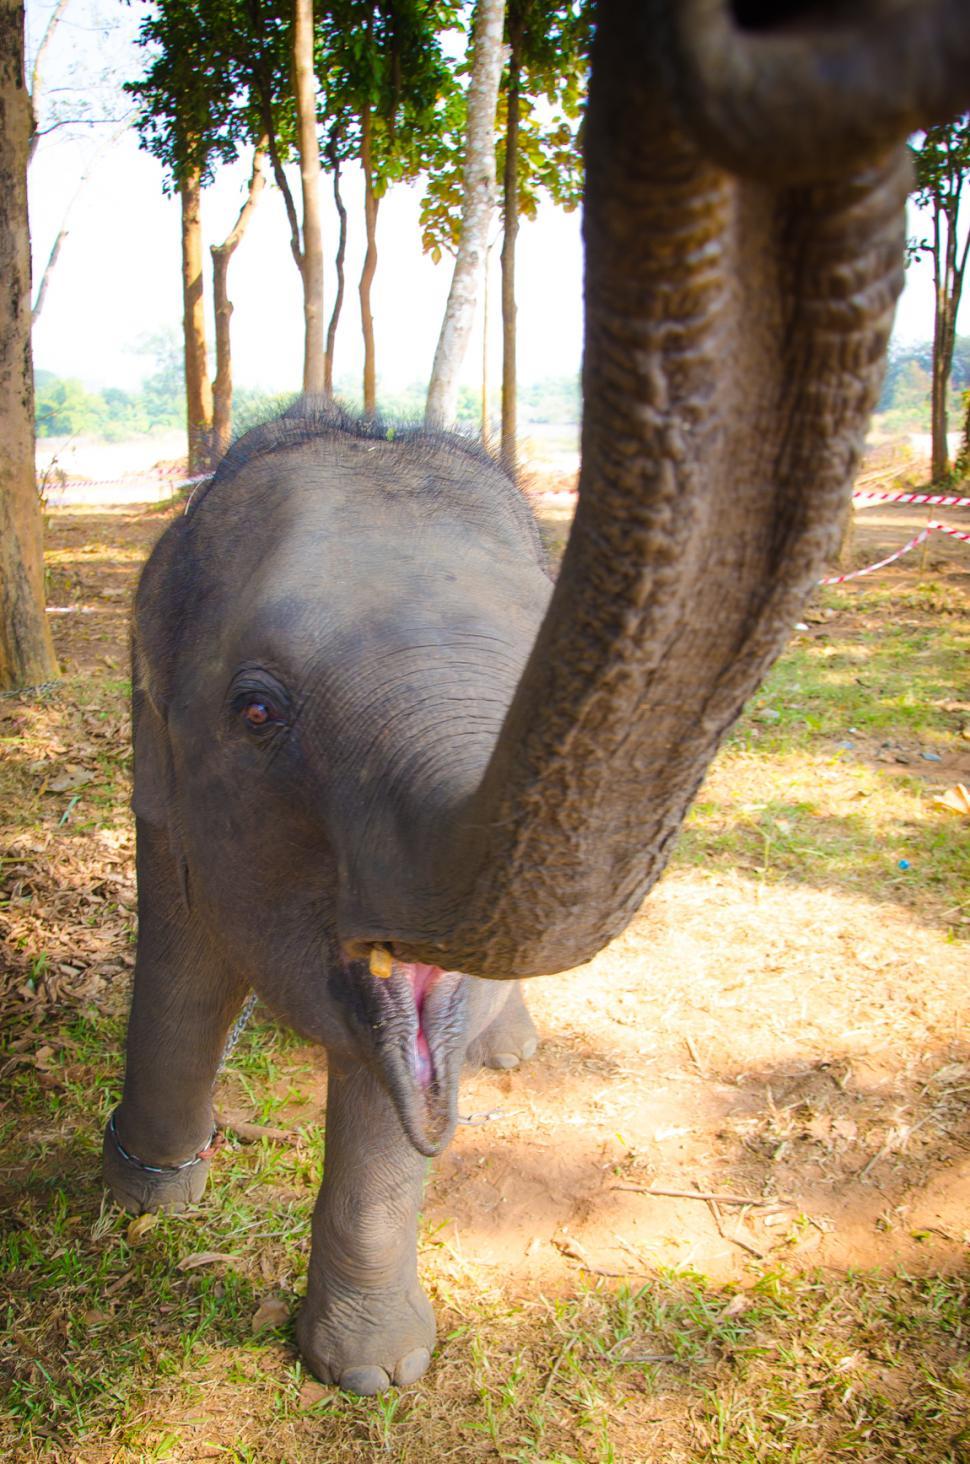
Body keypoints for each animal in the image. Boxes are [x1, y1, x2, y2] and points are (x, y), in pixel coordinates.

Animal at [103, 0, 970, 1397]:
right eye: (257, 714)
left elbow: (395, 1062)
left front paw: (374, 1377)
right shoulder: (165, 782)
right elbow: (182, 958)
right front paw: (141, 1196)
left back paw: (503, 1058)